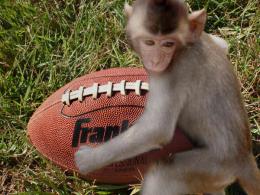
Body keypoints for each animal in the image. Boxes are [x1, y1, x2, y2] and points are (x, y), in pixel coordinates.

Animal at [73, 0, 260, 194]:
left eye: (168, 44)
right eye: (149, 42)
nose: (156, 60)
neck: (185, 47)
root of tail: (244, 160)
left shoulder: (172, 74)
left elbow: (157, 128)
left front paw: (87, 160)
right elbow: (223, 45)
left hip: (213, 166)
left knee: (160, 177)